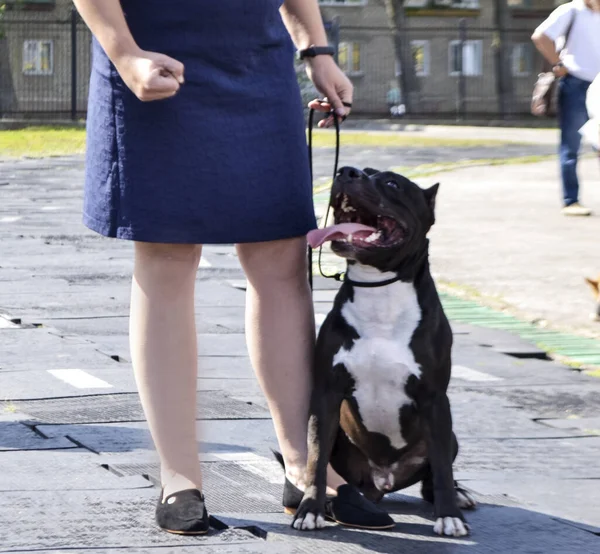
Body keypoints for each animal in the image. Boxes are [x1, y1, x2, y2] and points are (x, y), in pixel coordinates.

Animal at [298, 165, 476, 536]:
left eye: (393, 183)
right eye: (357, 171)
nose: (345, 171)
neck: (378, 290)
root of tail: (383, 481)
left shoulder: (435, 399)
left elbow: (442, 468)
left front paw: (450, 515)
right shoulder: (325, 395)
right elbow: (315, 458)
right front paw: (310, 510)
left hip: (448, 433)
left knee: (435, 474)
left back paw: (457, 495)